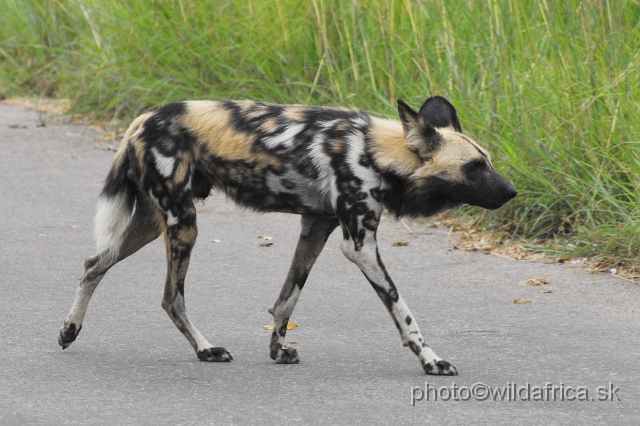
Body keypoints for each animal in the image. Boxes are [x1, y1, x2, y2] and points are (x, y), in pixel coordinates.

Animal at [57, 95, 516, 372]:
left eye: (488, 161)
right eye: (474, 167)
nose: (513, 191)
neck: (376, 152)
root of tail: (143, 119)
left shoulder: (317, 227)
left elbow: (287, 299)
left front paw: (277, 349)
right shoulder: (360, 245)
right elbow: (403, 310)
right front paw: (431, 360)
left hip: (156, 223)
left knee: (94, 263)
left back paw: (69, 329)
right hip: (183, 224)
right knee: (172, 298)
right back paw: (206, 349)